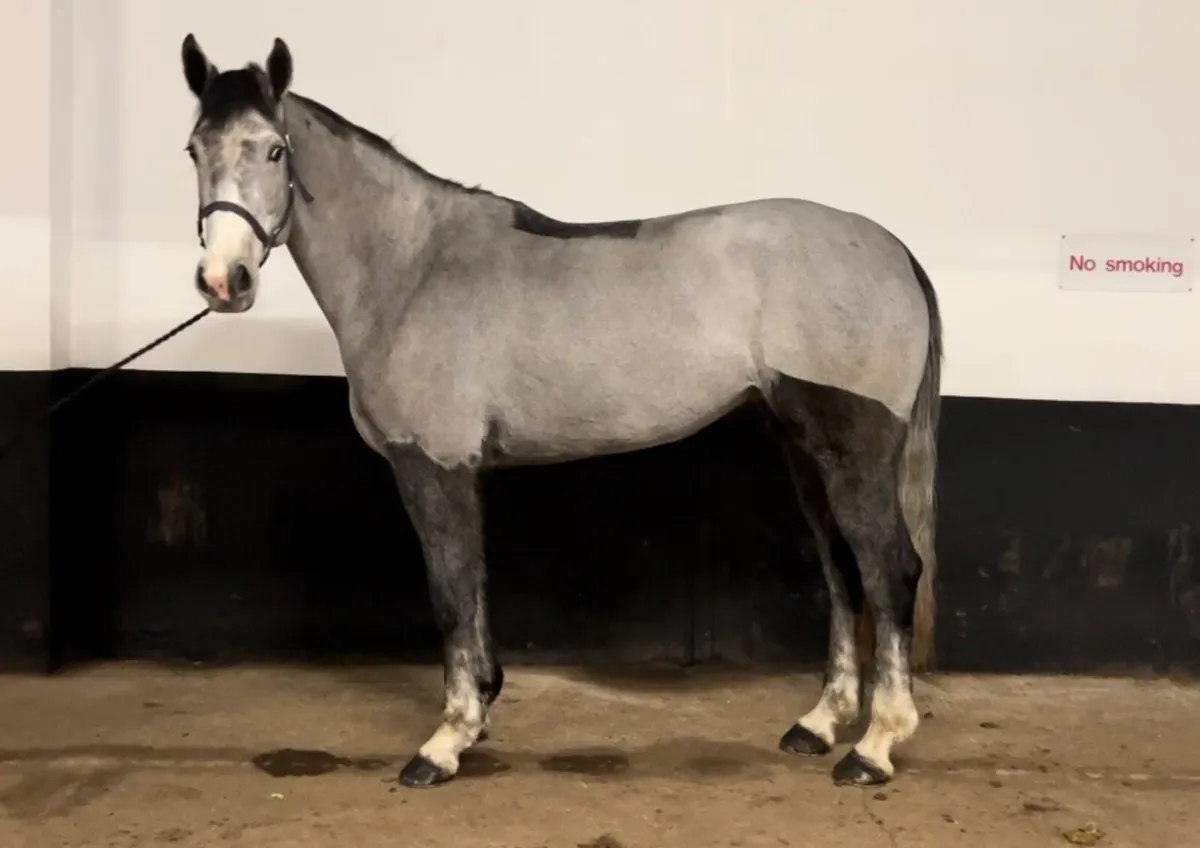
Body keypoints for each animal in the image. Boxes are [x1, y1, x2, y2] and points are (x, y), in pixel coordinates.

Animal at [177, 34, 943, 790]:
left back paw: (873, 747)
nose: (223, 281)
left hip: (854, 450)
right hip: (803, 447)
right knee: (843, 572)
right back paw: (819, 725)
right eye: (193, 150)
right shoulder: (462, 470)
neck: (413, 268)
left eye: (274, 150)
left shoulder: (432, 465)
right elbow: (473, 585)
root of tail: (896, 250)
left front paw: (446, 742)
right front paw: (478, 711)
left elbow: (450, 591)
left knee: (889, 570)